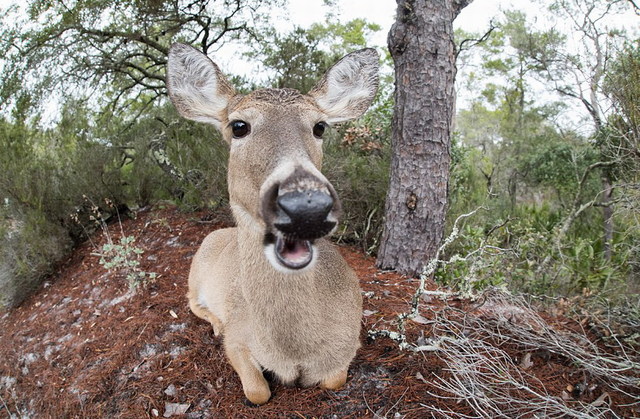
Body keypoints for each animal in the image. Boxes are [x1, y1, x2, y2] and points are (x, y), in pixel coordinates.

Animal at [165, 43, 380, 406]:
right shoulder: (238, 339)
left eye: (320, 126)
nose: (306, 205)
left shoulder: (350, 344)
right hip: (195, 274)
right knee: (191, 301)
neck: (295, 350)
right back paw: (215, 322)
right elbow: (257, 392)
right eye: (239, 126)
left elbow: (333, 380)